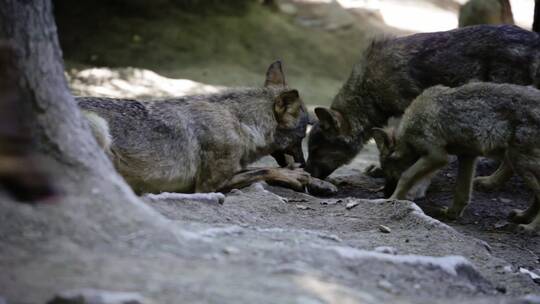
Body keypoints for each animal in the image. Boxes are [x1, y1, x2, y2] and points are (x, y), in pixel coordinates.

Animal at [374, 82, 540, 235]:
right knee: (535, 196)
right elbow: (461, 192)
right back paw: (523, 216)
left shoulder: (437, 156)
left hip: (519, 162)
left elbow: (406, 176)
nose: (385, 194)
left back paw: (531, 227)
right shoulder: (467, 156)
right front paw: (451, 213)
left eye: (389, 173)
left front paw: (393, 199)